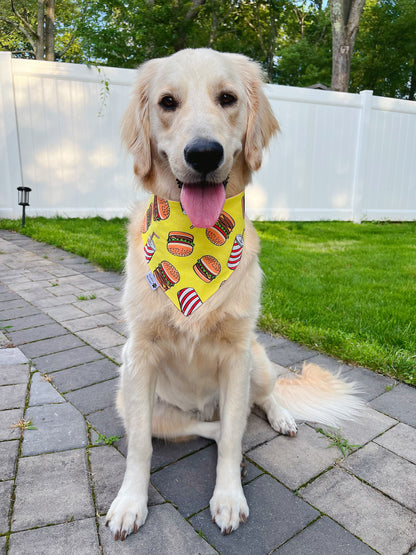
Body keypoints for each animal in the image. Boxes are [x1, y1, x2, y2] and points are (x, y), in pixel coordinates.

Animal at [105, 48, 362, 544]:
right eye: (167, 102)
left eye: (227, 98)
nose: (204, 153)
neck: (197, 240)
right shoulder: (138, 357)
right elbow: (143, 446)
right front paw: (130, 503)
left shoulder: (236, 353)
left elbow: (232, 439)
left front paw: (228, 498)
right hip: (132, 400)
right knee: (209, 425)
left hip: (255, 363)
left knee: (257, 403)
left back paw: (281, 418)